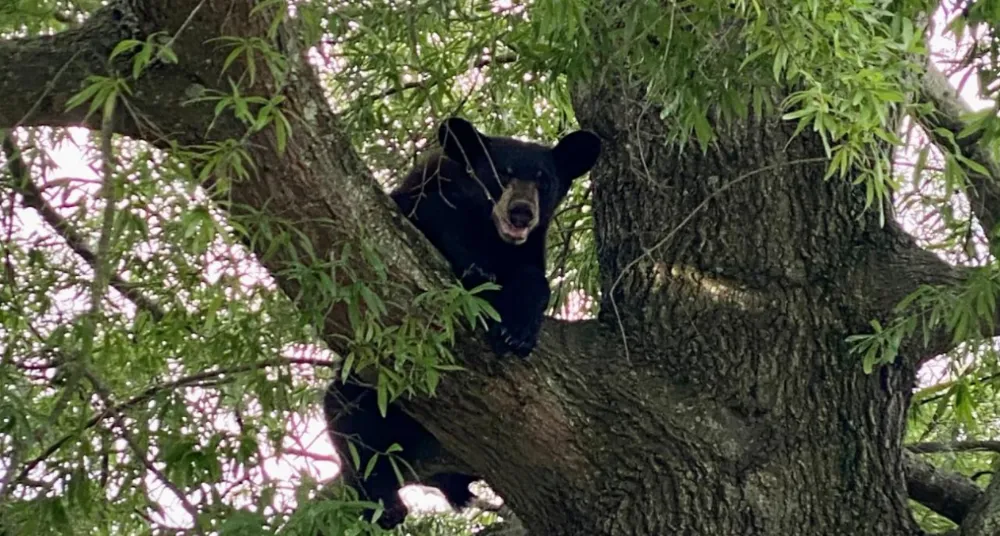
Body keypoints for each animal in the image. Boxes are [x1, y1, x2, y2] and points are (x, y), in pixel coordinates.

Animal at [324, 116, 596, 528]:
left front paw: (517, 330)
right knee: (348, 413)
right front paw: (476, 273)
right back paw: (385, 501)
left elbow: (534, 279)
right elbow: (430, 226)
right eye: (501, 173)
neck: (488, 232)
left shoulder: (529, 250)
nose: (521, 212)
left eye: (544, 181)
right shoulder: (422, 200)